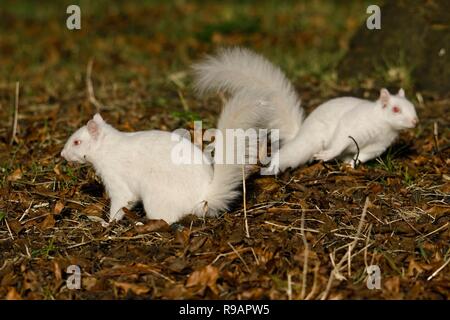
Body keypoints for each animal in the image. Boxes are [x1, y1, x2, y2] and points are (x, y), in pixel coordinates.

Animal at [59, 47, 298, 224]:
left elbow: (122, 201)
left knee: (168, 218)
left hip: (156, 195)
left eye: (77, 142)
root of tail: (201, 200)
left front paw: (106, 223)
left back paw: (143, 223)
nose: (62, 155)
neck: (108, 148)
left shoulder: (117, 178)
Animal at [268, 87, 418, 172]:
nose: (415, 121)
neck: (384, 124)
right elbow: (339, 141)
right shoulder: (352, 125)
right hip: (308, 142)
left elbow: (363, 155)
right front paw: (327, 155)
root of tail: (300, 131)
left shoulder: (378, 146)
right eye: (396, 109)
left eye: (412, 105)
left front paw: (352, 165)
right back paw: (272, 167)